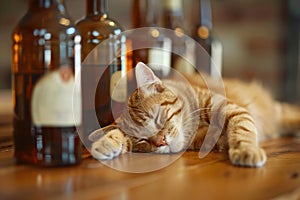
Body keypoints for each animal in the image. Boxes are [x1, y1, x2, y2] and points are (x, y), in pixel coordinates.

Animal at [88, 62, 300, 167]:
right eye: (142, 140)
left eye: (157, 119)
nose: (162, 141)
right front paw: (106, 143)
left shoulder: (230, 108)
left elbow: (242, 130)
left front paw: (246, 150)